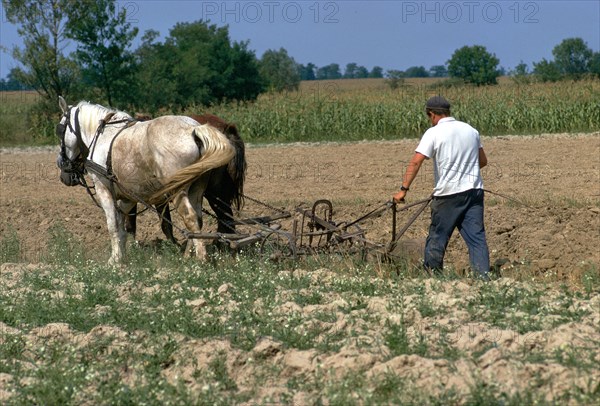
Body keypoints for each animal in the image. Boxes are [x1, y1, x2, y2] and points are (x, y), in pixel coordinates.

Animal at [56, 97, 234, 264]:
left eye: (60, 129)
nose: (61, 165)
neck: (102, 135)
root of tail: (193, 129)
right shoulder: (128, 196)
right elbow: (122, 224)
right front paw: (121, 256)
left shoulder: (103, 188)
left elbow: (113, 225)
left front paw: (114, 260)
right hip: (197, 189)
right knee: (198, 218)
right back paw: (187, 256)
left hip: (177, 190)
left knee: (190, 217)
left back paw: (201, 259)